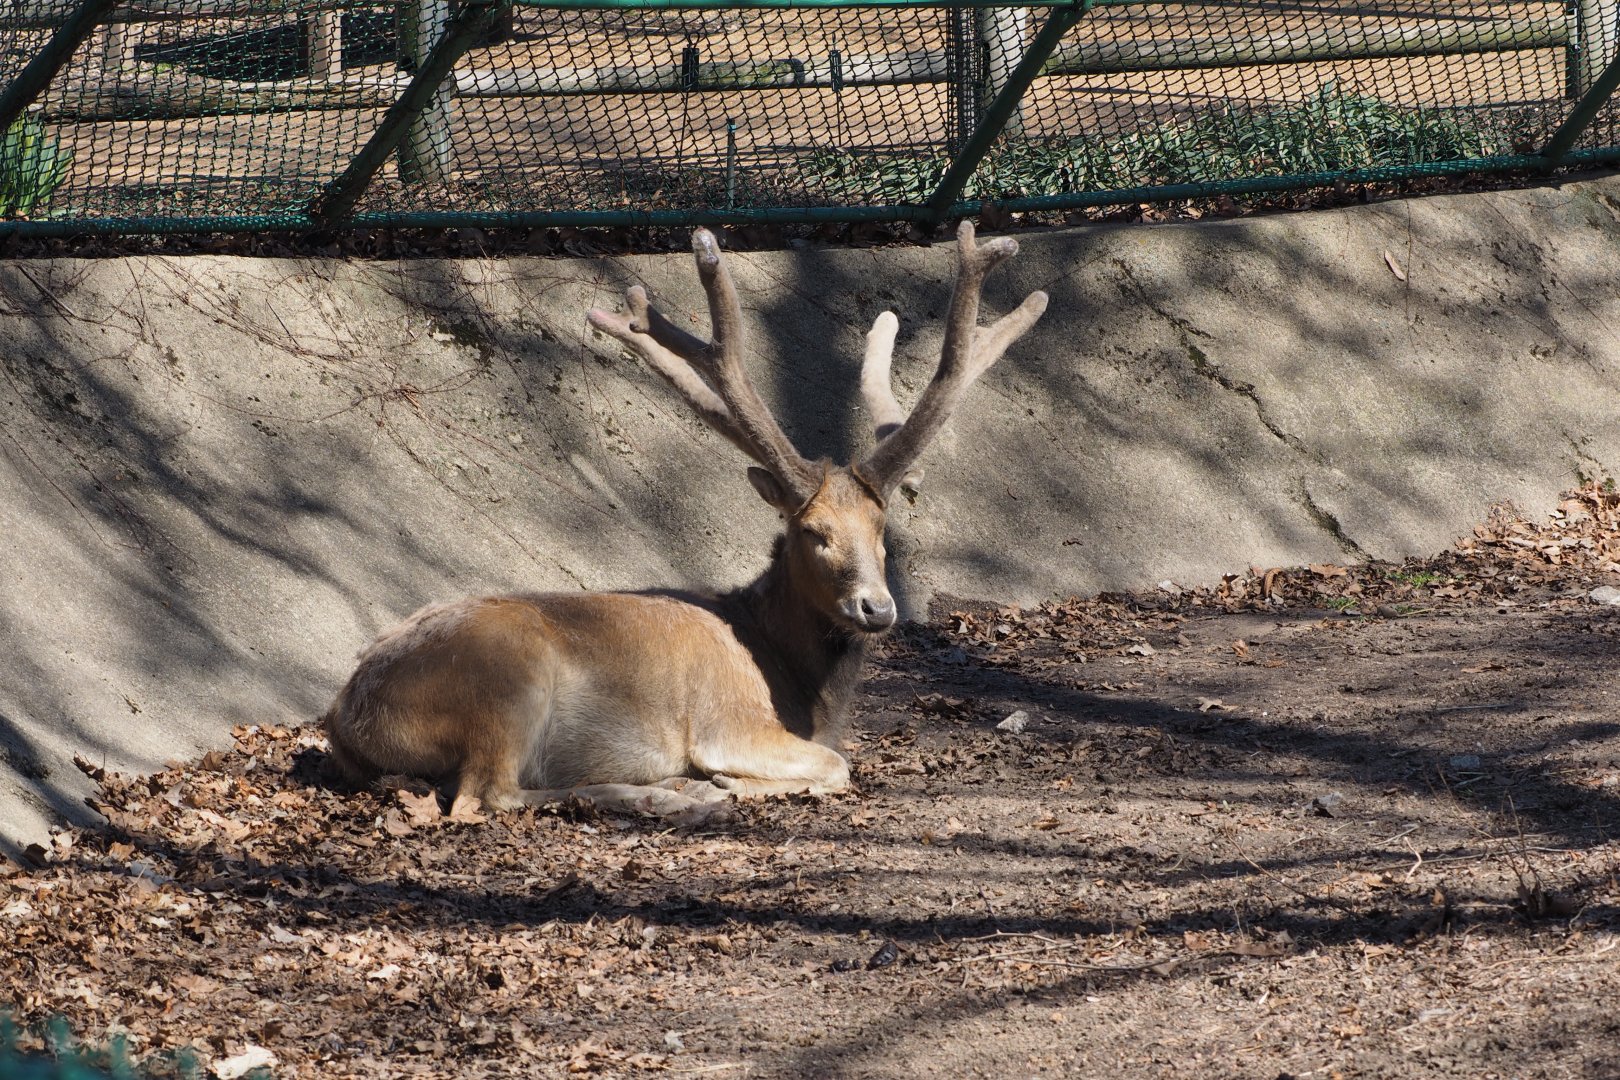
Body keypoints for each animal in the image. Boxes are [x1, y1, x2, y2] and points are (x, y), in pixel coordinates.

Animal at [321, 221, 1047, 822]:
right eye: (813, 533)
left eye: (882, 531)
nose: (877, 608)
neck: (800, 687)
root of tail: (346, 717)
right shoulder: (732, 722)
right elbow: (836, 766)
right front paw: (729, 784)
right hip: (507, 682)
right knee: (485, 796)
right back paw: (674, 796)